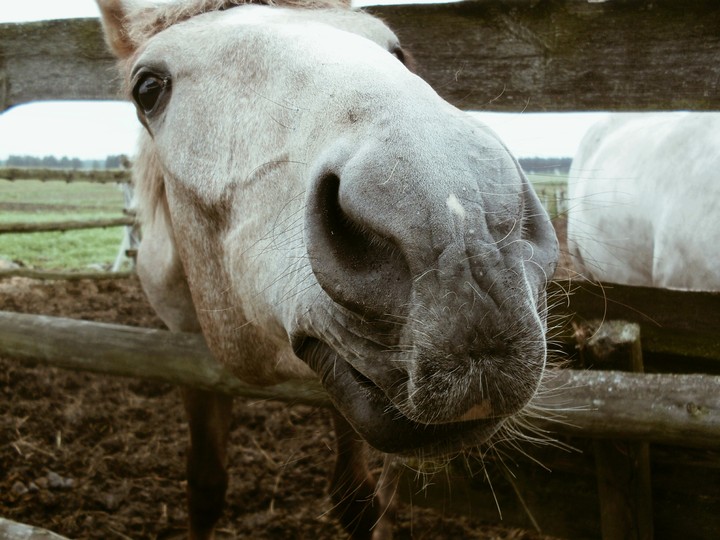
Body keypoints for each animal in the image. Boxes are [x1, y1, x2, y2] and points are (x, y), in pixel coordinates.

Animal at [96, 1, 559, 538]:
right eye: (148, 89)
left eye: (396, 52)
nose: (462, 243)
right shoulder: (180, 350)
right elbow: (205, 485)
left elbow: (355, 498)